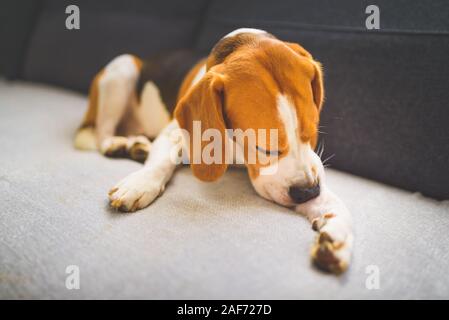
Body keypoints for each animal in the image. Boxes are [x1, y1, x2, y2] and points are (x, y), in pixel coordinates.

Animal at [74, 28, 354, 276]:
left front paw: (337, 234)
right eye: (263, 147)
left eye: (313, 132)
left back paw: (137, 145)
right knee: (101, 133)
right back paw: (119, 144)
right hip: (122, 68)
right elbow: (161, 162)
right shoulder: (173, 133)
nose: (308, 192)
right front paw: (140, 183)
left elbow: (334, 202)